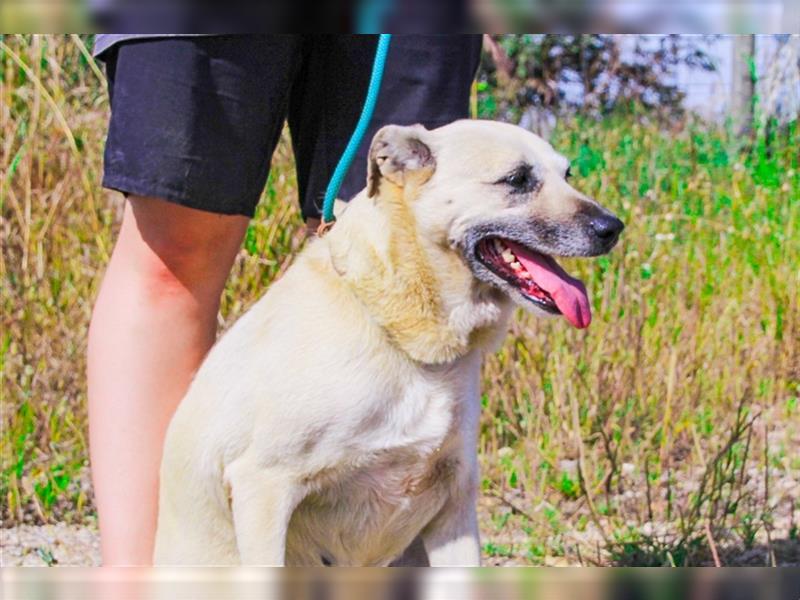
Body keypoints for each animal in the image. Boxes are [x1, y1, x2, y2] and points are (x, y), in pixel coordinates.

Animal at [153, 119, 620, 564]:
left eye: (568, 174)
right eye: (518, 179)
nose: (613, 227)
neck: (406, 340)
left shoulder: (455, 502)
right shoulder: (263, 483)